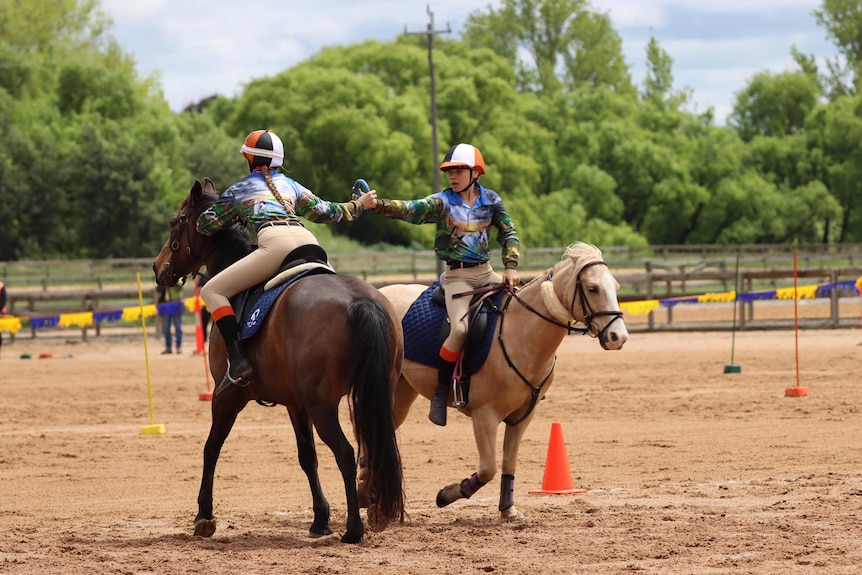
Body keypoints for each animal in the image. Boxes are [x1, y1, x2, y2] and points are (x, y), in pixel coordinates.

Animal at [154, 178, 406, 544]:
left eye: (177, 221)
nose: (157, 268)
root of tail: (360, 300)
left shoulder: (226, 396)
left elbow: (211, 448)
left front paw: (204, 515)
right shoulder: (294, 403)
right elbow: (307, 457)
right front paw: (320, 519)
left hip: (323, 406)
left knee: (345, 453)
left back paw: (354, 529)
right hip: (374, 395)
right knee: (373, 450)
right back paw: (374, 511)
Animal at [362, 243, 632, 520]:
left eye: (616, 287)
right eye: (592, 288)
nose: (618, 337)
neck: (520, 334)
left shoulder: (523, 416)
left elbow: (508, 462)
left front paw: (508, 510)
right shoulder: (485, 416)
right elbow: (487, 469)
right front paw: (446, 495)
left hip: (402, 393)